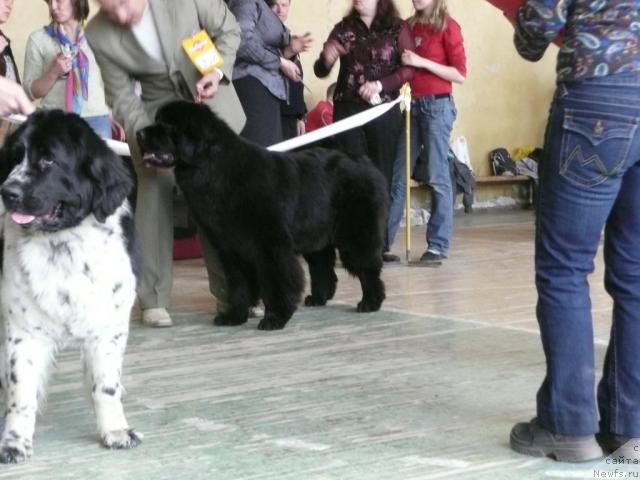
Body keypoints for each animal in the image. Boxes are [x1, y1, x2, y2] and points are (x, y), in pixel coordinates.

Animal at [0, 110, 141, 464]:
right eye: (15, 157)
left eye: (49, 159)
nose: (7, 191)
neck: (62, 243)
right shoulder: (23, 331)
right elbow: (21, 392)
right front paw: (14, 442)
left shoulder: (108, 328)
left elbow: (105, 385)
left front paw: (115, 430)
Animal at [138, 100, 388, 334]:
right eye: (157, 120)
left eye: (168, 126)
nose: (139, 134)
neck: (214, 169)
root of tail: (363, 161)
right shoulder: (230, 247)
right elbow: (238, 284)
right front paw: (234, 315)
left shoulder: (270, 244)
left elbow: (277, 281)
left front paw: (275, 317)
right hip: (315, 233)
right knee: (322, 266)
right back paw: (318, 298)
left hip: (356, 233)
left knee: (367, 268)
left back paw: (370, 302)